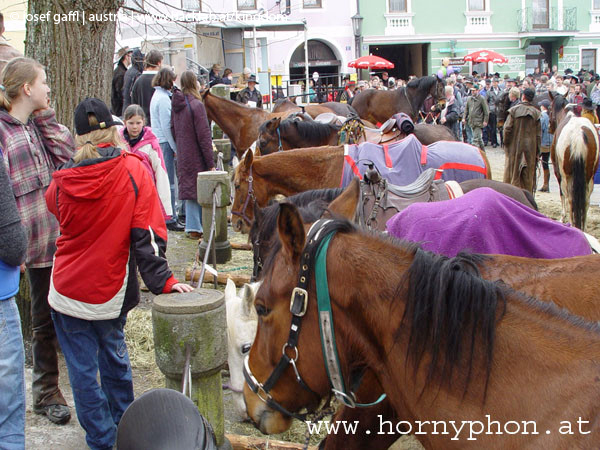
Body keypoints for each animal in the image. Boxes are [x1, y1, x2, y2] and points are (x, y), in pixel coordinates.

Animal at [548, 92, 600, 232]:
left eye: (549, 108)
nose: (549, 127)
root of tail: (578, 135)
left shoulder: (558, 172)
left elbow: (562, 194)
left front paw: (562, 217)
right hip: (589, 176)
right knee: (586, 200)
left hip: (567, 175)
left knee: (571, 198)